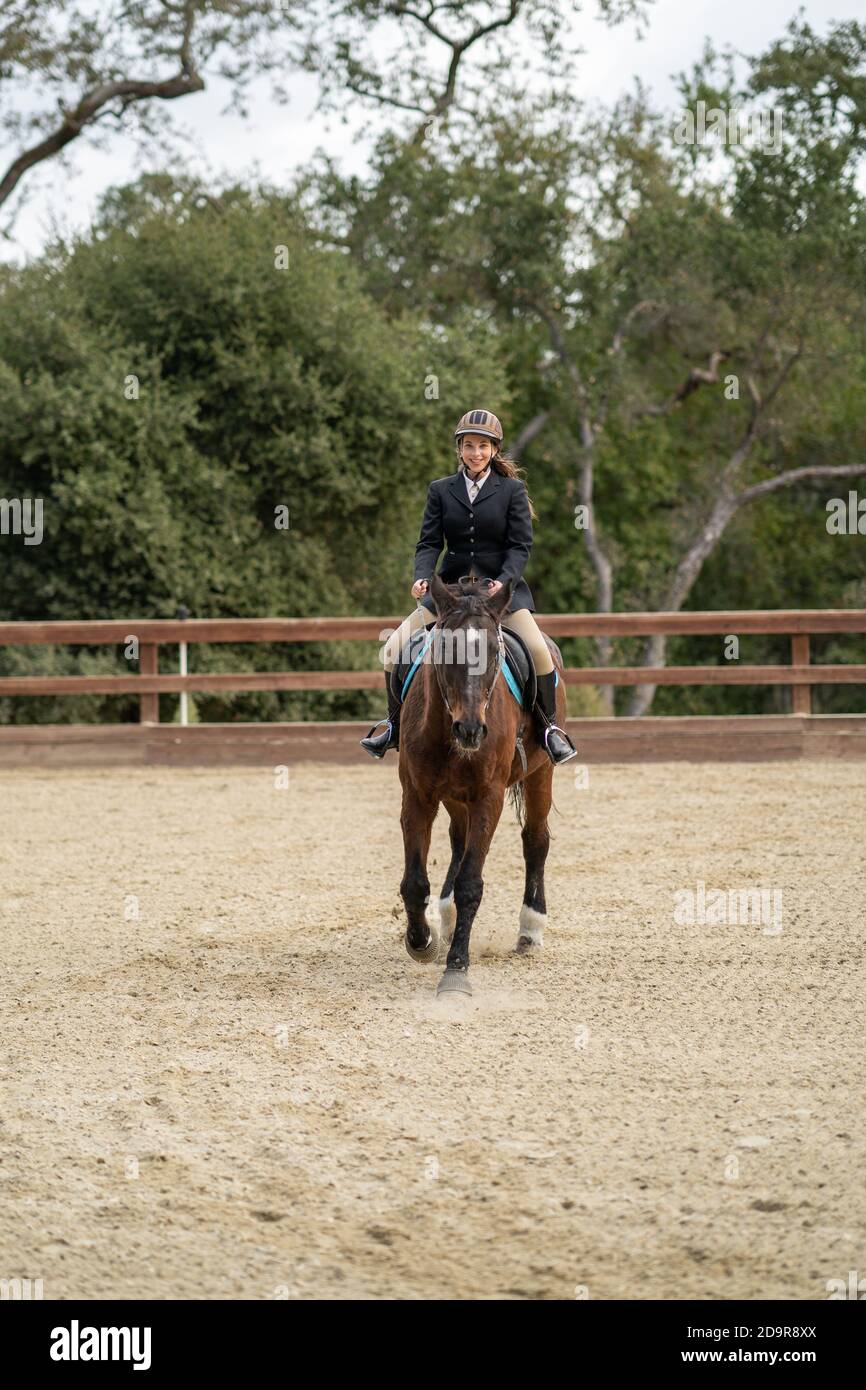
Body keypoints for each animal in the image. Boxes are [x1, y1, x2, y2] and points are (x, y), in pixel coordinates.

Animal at [397, 569, 567, 995]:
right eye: (445, 650)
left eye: (493, 653)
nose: (470, 731)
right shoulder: (417, 797)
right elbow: (414, 882)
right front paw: (422, 942)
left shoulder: (488, 797)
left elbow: (471, 883)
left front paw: (456, 970)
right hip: (455, 796)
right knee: (458, 841)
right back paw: (446, 919)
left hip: (542, 773)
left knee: (535, 841)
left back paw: (530, 929)